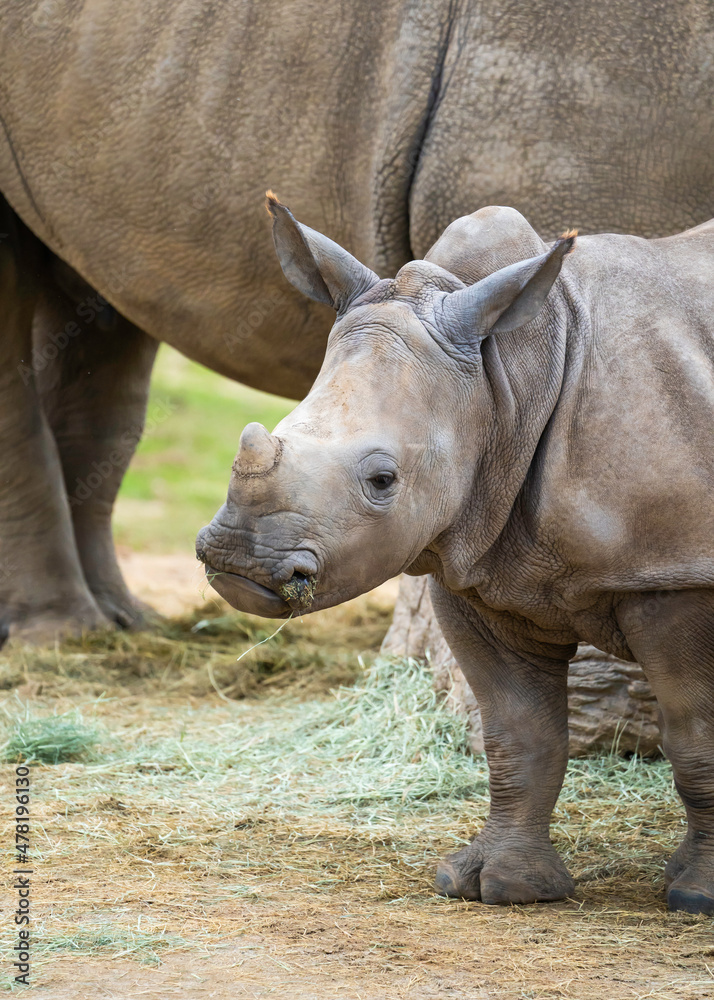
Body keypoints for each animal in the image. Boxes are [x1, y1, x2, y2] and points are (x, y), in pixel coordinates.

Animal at [196, 194, 714, 915]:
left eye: (383, 480)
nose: (238, 562)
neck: (512, 376)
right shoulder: (481, 571)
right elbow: (517, 736)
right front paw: (497, 887)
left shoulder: (676, 574)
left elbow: (696, 736)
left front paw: (697, 897)